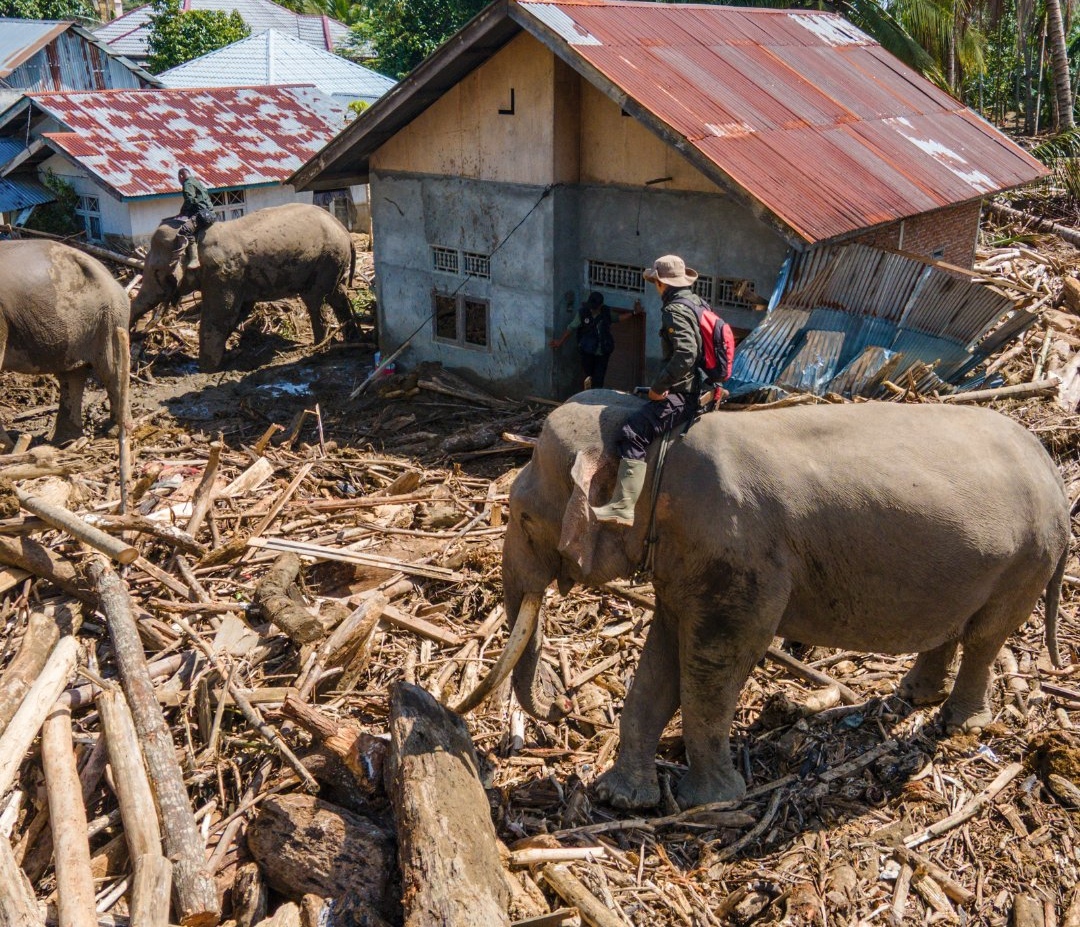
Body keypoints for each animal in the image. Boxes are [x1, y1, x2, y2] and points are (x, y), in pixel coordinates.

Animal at [0, 240, 129, 444]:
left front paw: (5, 447)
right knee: (72, 374)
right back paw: (65, 442)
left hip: (111, 315)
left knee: (110, 369)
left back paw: (114, 432)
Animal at [130, 203, 356, 371]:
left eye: (157, 271)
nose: (137, 333)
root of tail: (344, 230)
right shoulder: (234, 279)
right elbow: (240, 310)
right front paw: (227, 355)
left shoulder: (223, 273)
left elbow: (221, 314)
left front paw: (206, 368)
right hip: (333, 262)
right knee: (337, 296)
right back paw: (350, 342)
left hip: (326, 259)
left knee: (314, 299)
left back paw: (318, 351)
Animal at [455, 391, 1071, 810]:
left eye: (523, 518)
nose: (563, 708)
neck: (657, 443)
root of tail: (1050, 465)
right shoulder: (684, 563)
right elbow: (661, 660)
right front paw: (622, 799)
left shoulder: (741, 561)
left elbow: (714, 660)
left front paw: (713, 801)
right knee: (952, 626)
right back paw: (913, 696)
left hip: (1026, 560)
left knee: (985, 635)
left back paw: (957, 725)